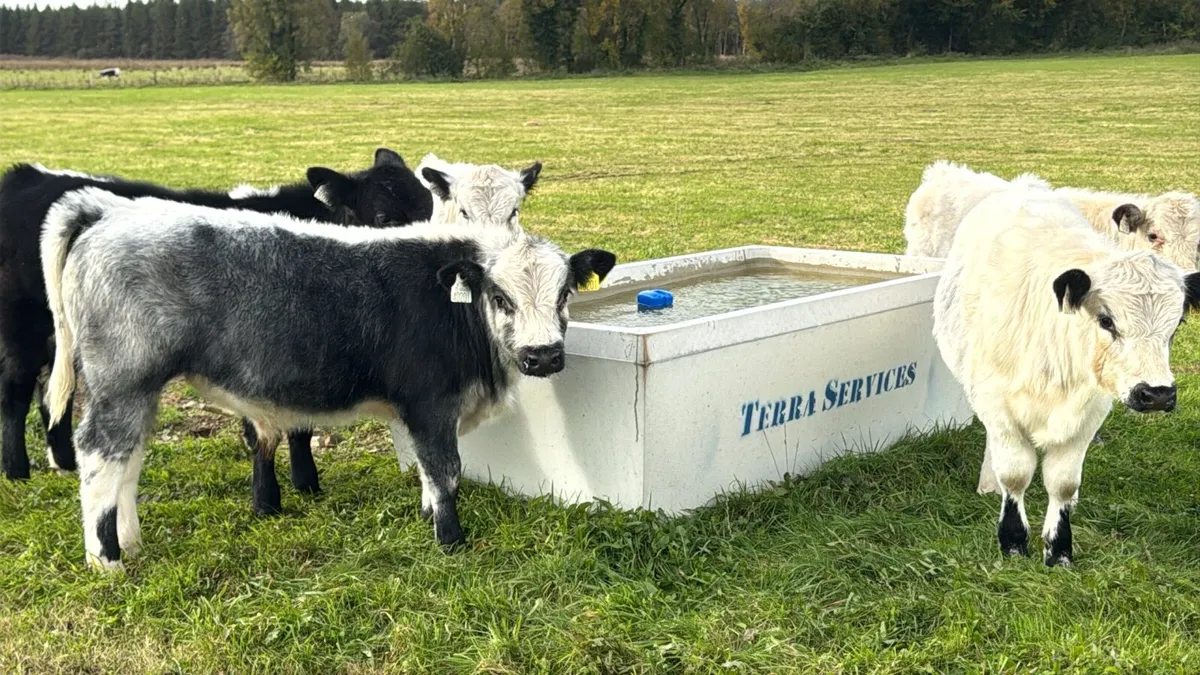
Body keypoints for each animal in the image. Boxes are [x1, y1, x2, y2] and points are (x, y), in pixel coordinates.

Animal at [0, 148, 433, 484]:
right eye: (383, 217)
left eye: (430, 207)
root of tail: (26, 176)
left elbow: (299, 425)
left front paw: (304, 482)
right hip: (25, 328)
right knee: (16, 391)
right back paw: (17, 470)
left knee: (54, 393)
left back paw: (64, 462)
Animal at [40, 188, 615, 571]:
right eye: (499, 297)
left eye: (565, 293)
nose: (543, 356)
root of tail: (109, 210)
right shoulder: (430, 404)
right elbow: (444, 470)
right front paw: (449, 538)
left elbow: (429, 474)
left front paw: (428, 515)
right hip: (122, 383)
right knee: (100, 455)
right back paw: (107, 559)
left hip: (138, 391)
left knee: (128, 457)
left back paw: (130, 541)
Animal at [933, 187, 1200, 567]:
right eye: (1106, 320)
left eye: (1176, 325)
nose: (1157, 394)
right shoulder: (996, 404)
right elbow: (1015, 474)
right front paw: (1013, 542)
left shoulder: (1090, 412)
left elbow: (1062, 482)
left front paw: (1058, 550)